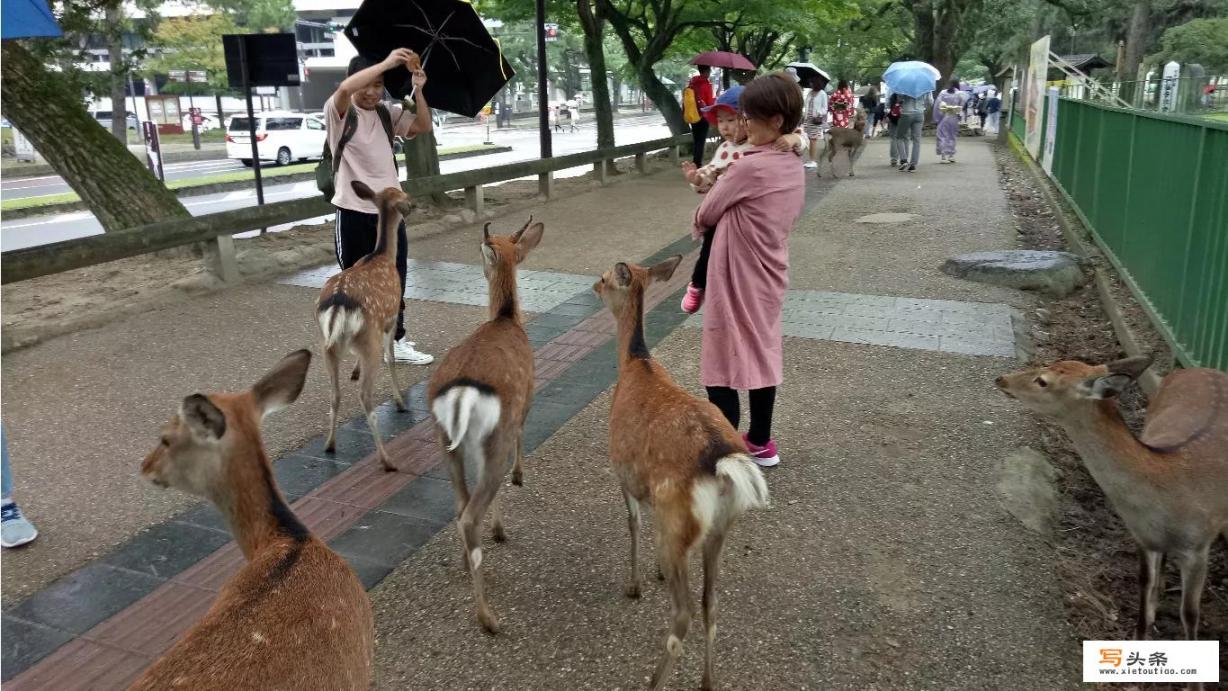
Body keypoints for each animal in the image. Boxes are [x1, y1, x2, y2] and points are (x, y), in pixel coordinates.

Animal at [316, 177, 412, 473]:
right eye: (404, 195)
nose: (413, 205)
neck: (381, 255)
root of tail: (338, 304)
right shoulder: (390, 319)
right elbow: (391, 358)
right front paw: (399, 401)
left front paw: (354, 370)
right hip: (370, 338)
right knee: (365, 396)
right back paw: (386, 459)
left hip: (326, 345)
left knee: (334, 394)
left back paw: (330, 444)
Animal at [429, 218, 545, 633]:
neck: (507, 318)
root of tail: (462, 394)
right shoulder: (525, 402)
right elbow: (523, 438)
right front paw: (519, 478)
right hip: (493, 438)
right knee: (470, 514)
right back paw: (487, 617)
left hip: (445, 443)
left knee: (460, 503)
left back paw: (466, 562)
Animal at [997, 355, 1228, 643]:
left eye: (1043, 381)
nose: (1001, 379)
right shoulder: (1142, 539)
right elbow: (1144, 586)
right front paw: (1141, 633)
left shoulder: (1198, 547)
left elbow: (1190, 614)